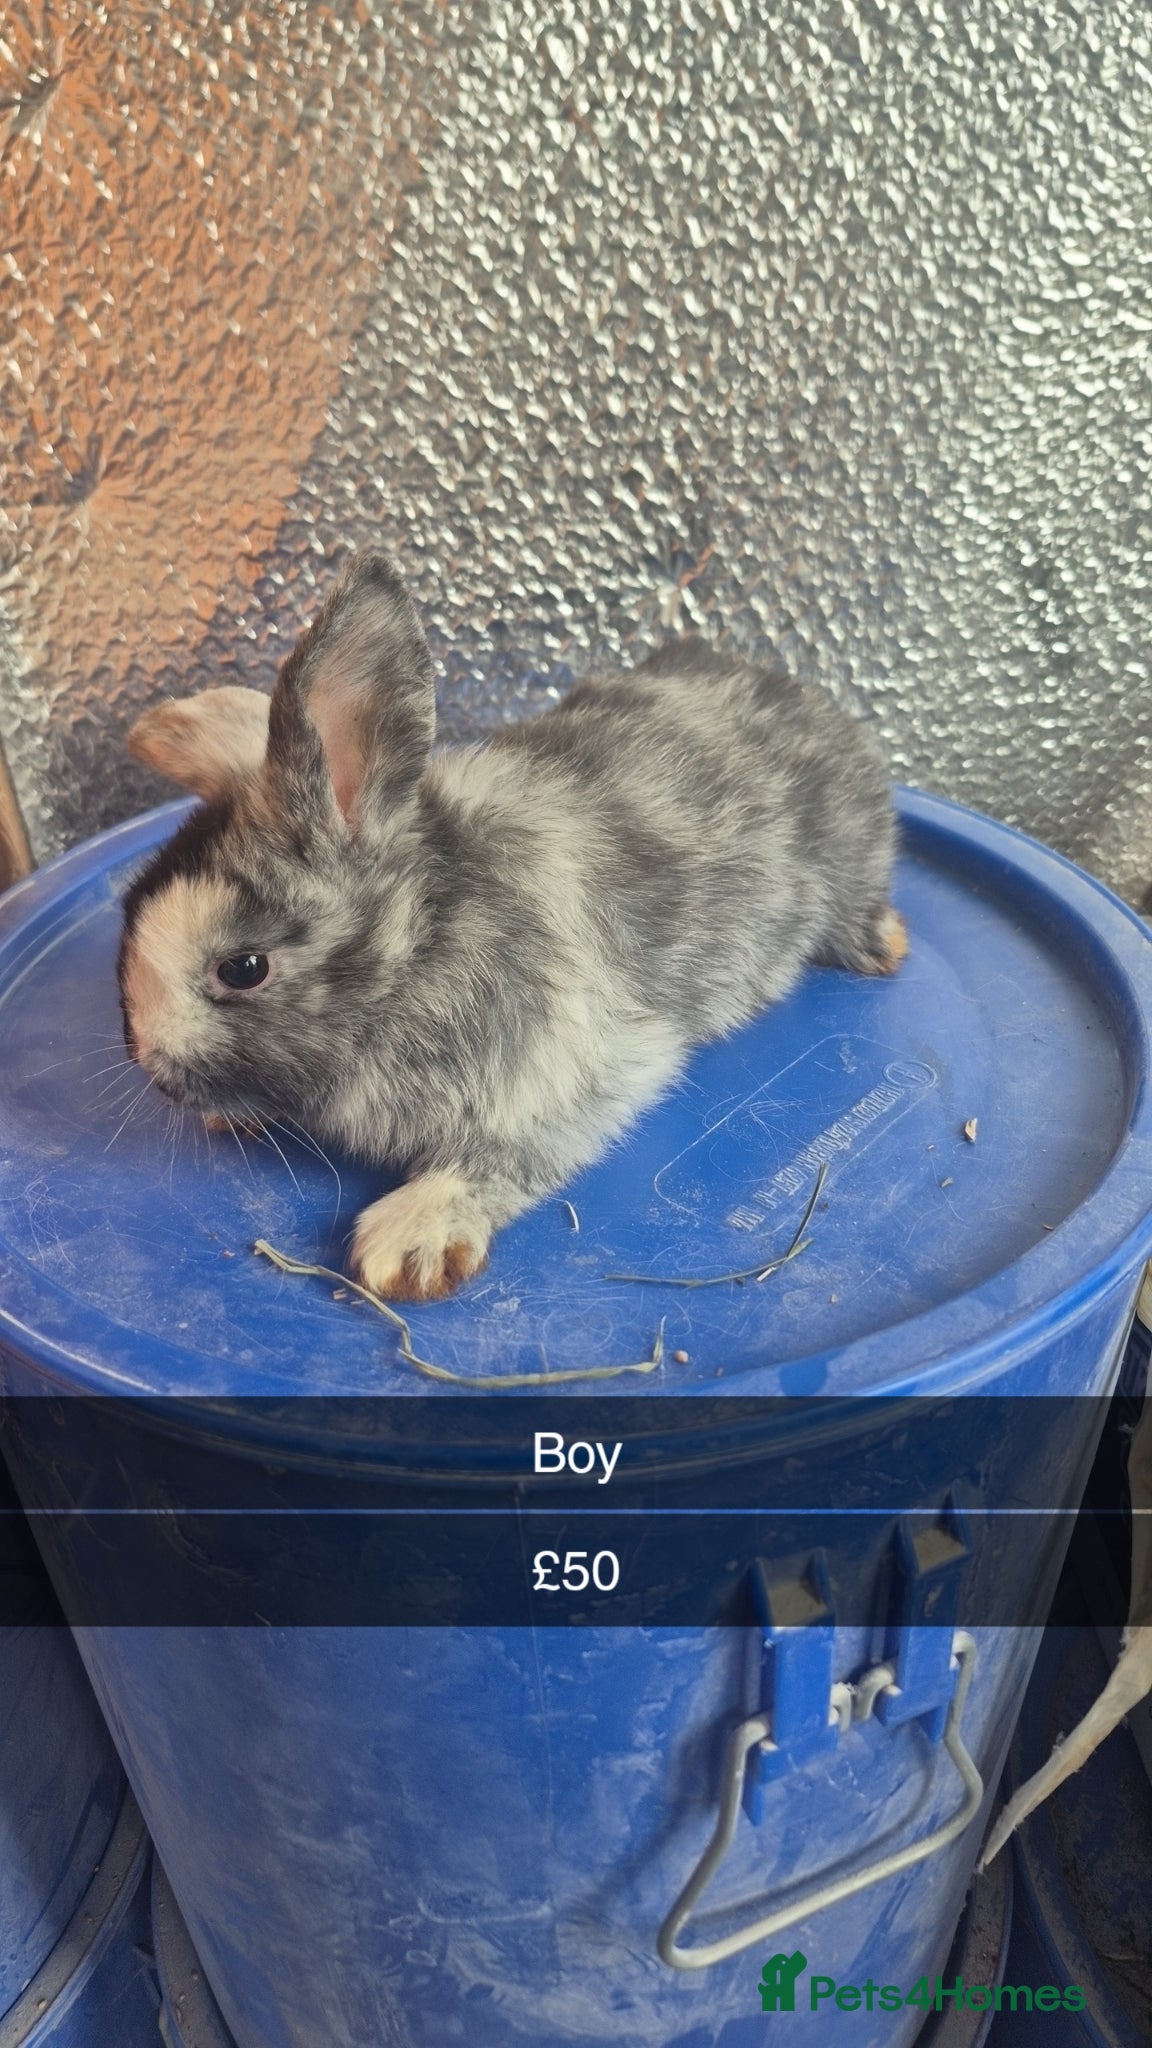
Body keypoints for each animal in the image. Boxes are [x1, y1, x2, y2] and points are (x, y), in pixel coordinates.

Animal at [119, 550, 906, 1302]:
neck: (422, 938)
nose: (154, 1074)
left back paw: (883, 945)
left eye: (243, 969)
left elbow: (500, 1158)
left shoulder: (573, 1073)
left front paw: (411, 1243)